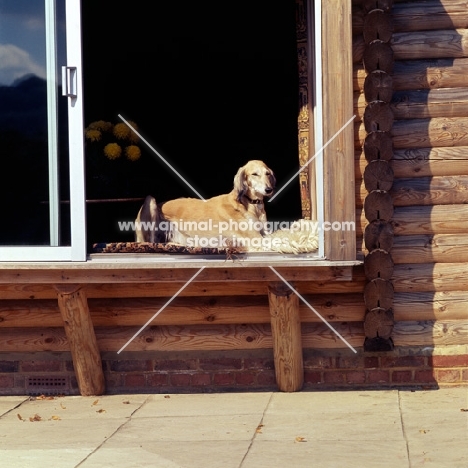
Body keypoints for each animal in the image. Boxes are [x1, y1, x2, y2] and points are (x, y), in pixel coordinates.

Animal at [134, 160, 274, 250]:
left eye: (268, 173)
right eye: (254, 174)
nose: (269, 190)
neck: (250, 204)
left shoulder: (265, 233)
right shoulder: (256, 238)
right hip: (150, 200)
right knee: (152, 242)